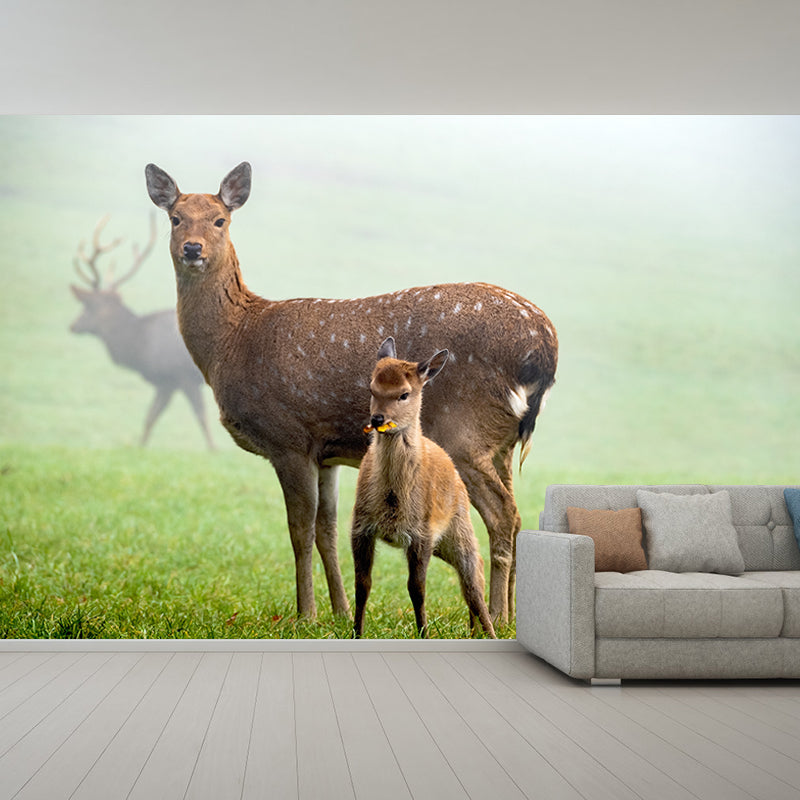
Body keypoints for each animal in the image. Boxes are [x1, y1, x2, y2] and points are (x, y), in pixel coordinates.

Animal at [70, 215, 215, 449]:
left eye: (88, 307)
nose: (73, 325)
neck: (142, 347)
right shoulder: (166, 382)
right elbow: (150, 417)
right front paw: (140, 447)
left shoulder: (180, 377)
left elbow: (199, 416)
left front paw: (214, 449)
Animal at [352, 338, 496, 638]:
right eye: (372, 388)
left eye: (404, 394)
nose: (378, 418)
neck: (393, 499)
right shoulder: (360, 525)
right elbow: (362, 585)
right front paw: (356, 633)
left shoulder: (422, 532)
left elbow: (417, 588)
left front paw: (424, 633)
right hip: (443, 542)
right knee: (471, 572)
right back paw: (473, 630)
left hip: (459, 524)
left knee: (473, 571)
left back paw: (489, 631)